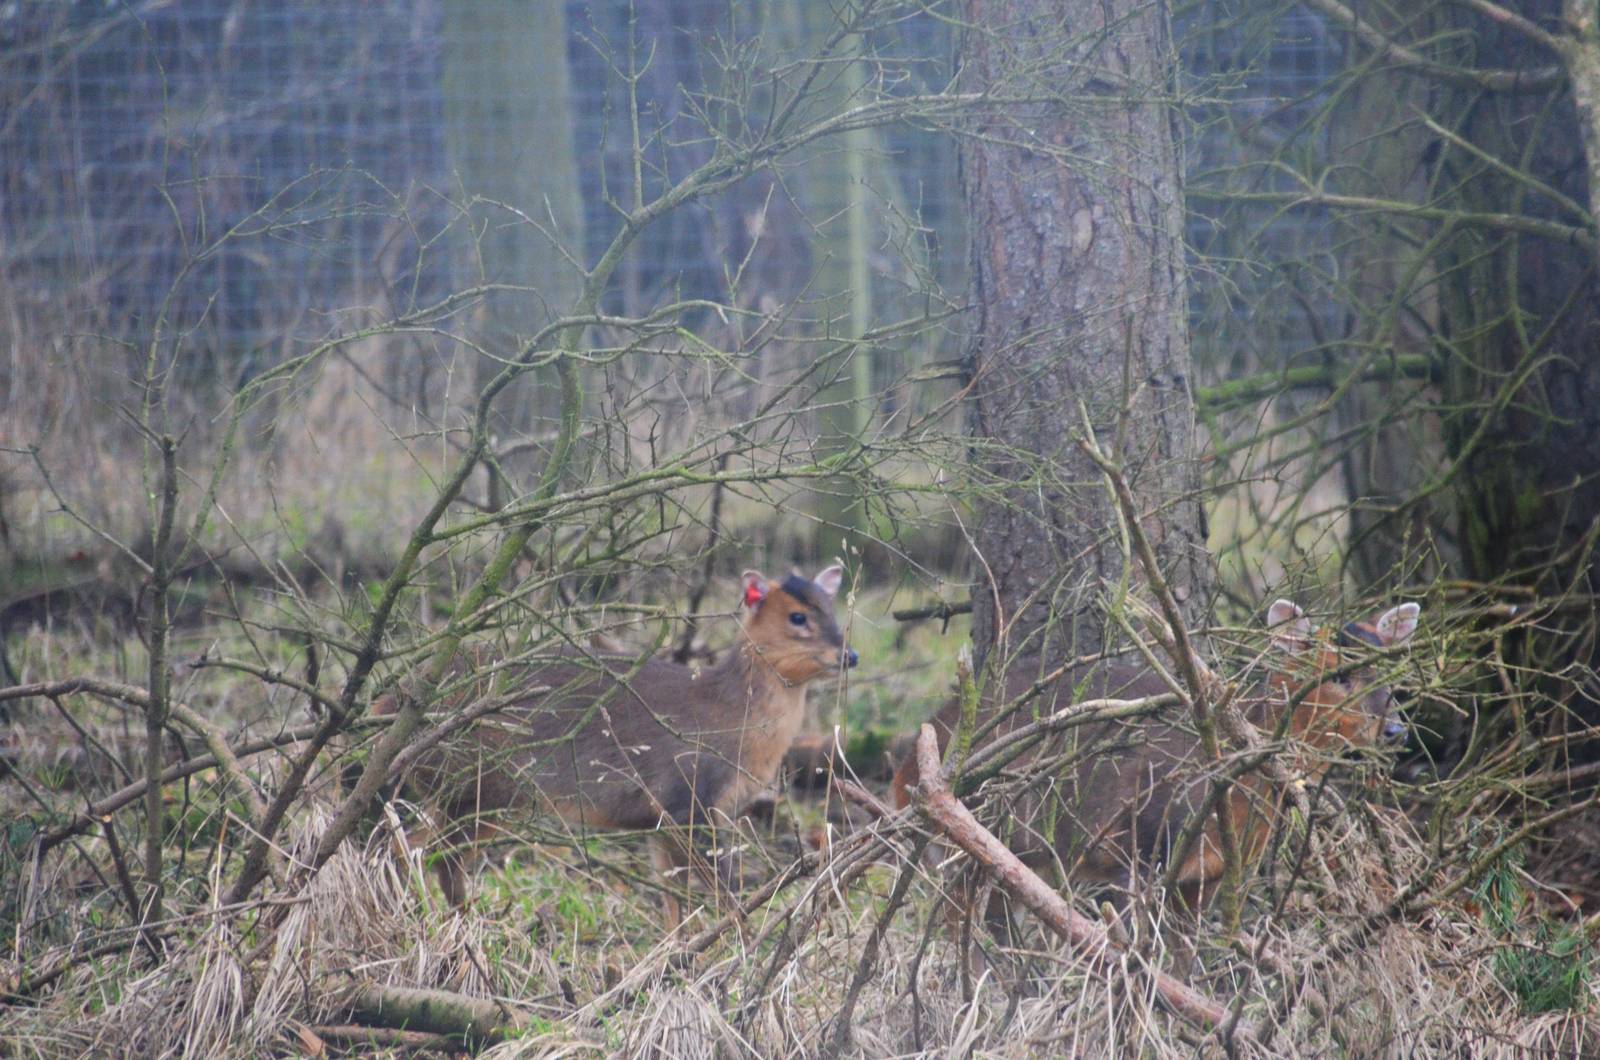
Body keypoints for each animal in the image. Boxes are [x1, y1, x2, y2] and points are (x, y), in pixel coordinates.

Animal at [380, 565, 857, 923]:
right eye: (798, 617)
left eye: (833, 610)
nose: (849, 655)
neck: (733, 717)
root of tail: (391, 702)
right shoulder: (690, 800)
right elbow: (722, 895)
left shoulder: (662, 823)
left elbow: (672, 899)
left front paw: (678, 959)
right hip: (478, 785)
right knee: (427, 851)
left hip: (463, 792)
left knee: (405, 842)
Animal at [892, 599, 1420, 916]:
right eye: (1339, 675)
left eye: (1390, 672)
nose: (1395, 729)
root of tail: (906, 773)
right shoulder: (1142, 848)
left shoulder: (1211, 876)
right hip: (970, 837)